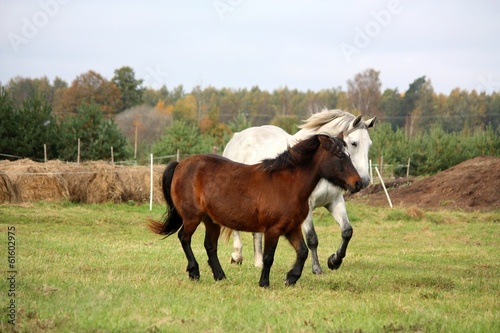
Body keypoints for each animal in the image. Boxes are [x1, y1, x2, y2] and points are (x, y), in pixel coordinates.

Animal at [223, 109, 376, 272]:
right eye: (354, 143)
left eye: (369, 145)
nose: (364, 181)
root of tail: (237, 137)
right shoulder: (306, 207)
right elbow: (312, 238)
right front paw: (317, 268)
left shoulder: (334, 201)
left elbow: (347, 231)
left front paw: (334, 261)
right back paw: (237, 256)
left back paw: (259, 262)